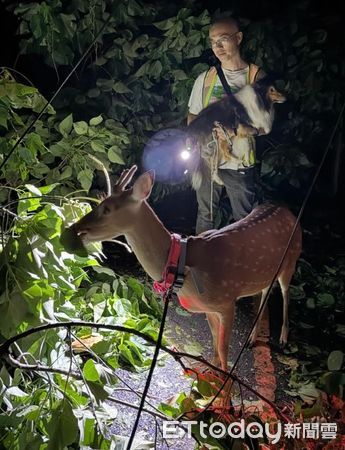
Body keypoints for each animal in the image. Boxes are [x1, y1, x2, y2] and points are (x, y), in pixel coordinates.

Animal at [65, 167, 300, 370]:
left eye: (107, 209)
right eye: (101, 200)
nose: (74, 228)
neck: (183, 269)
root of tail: (288, 210)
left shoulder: (226, 301)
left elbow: (224, 353)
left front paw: (224, 393)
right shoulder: (209, 308)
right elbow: (215, 347)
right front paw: (206, 380)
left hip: (292, 260)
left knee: (286, 294)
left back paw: (282, 338)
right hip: (268, 272)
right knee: (265, 292)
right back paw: (252, 338)